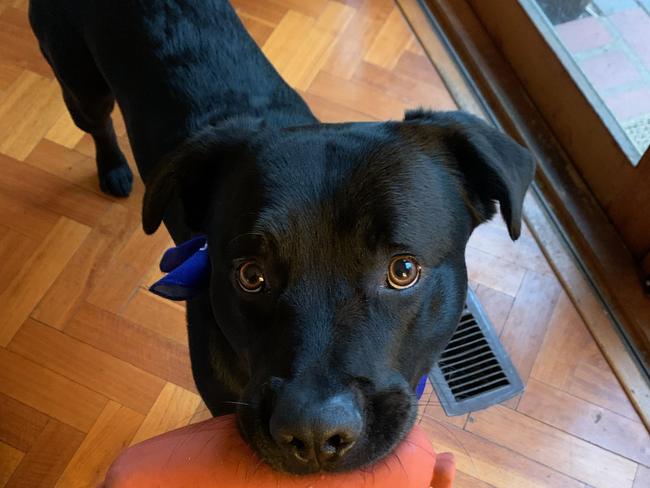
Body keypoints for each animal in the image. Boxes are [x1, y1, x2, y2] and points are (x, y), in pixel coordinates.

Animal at [29, 0, 532, 474]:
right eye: (251, 276)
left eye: (404, 270)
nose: (314, 434)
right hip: (79, 81)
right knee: (96, 121)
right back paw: (113, 167)